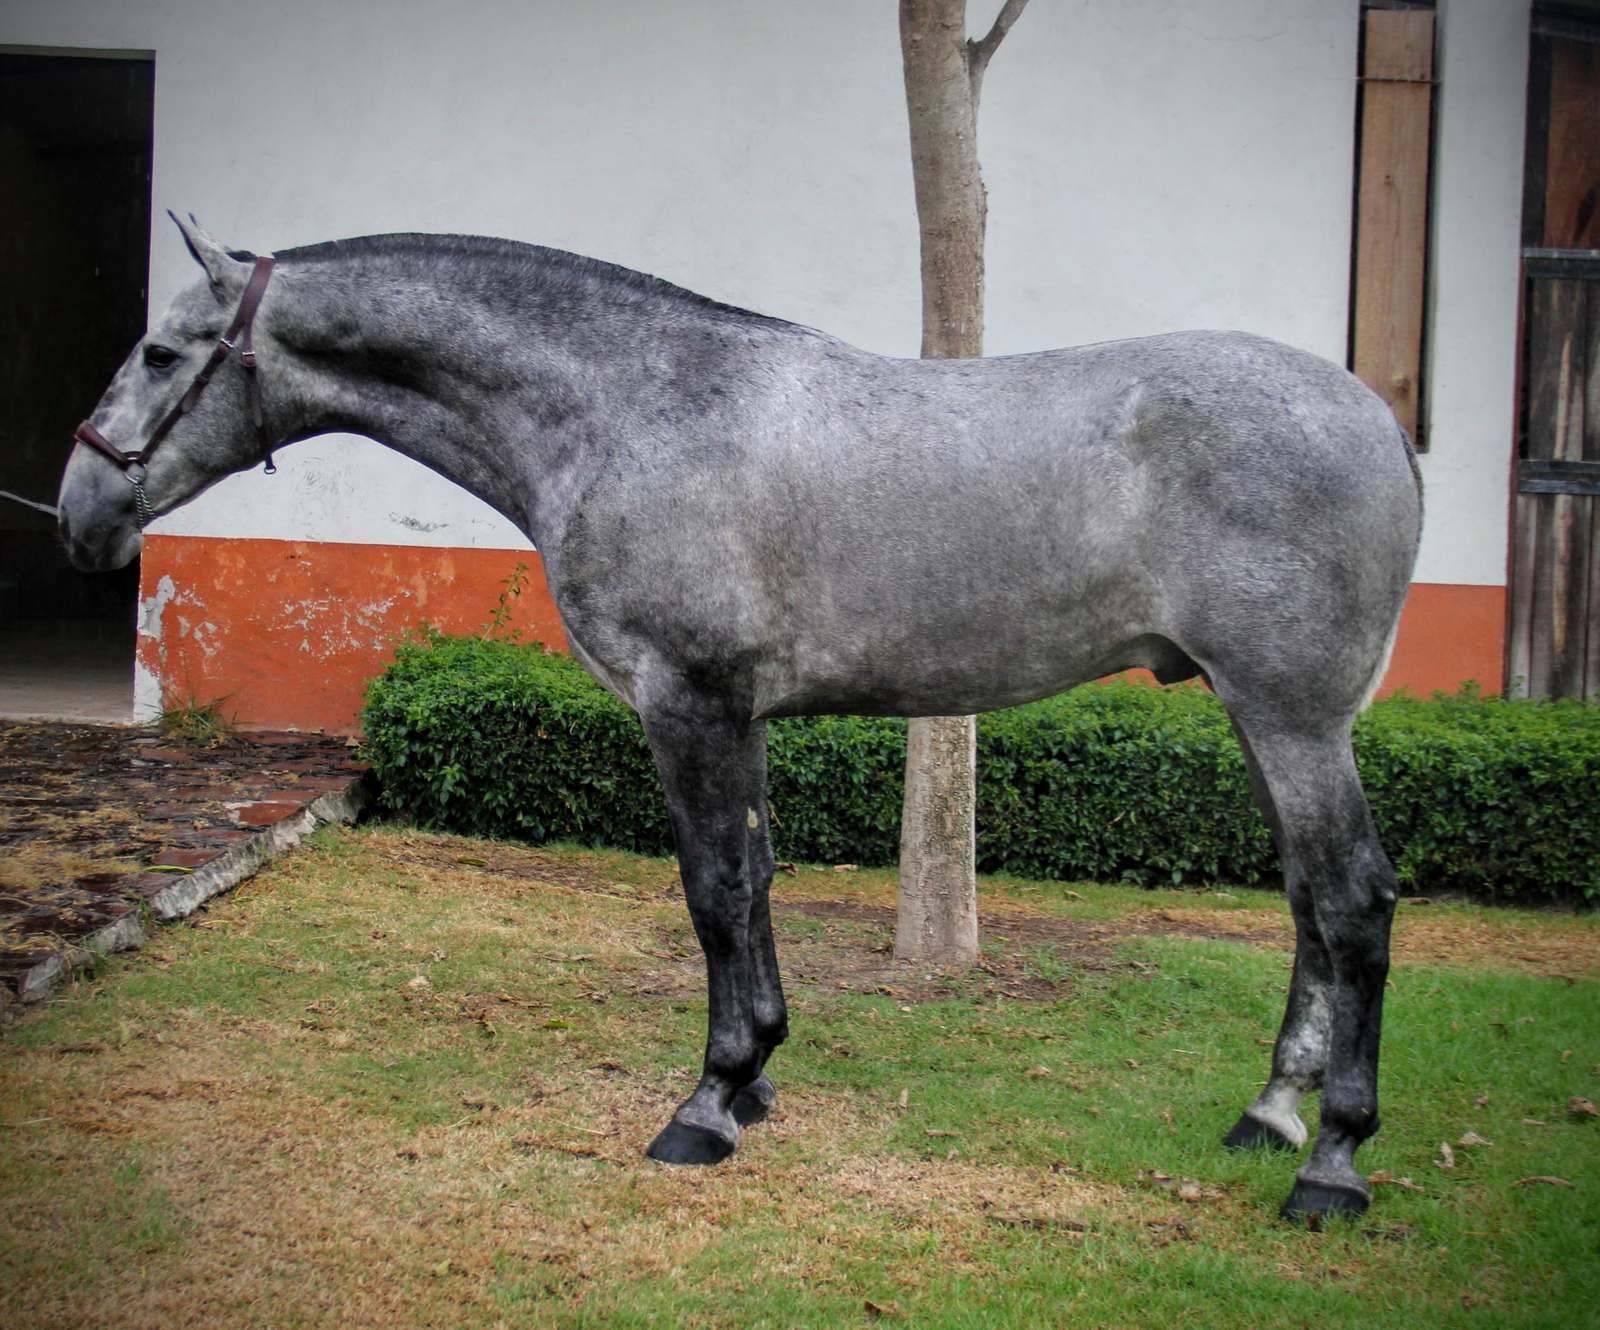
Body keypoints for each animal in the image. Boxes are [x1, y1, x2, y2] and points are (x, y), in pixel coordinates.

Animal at [58, 215, 1422, 1222]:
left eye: (165, 353)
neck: (633, 407)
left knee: (1351, 899)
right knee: (1307, 902)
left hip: (1292, 718)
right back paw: (1269, 1112)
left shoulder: (689, 700)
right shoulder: (741, 713)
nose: (78, 510)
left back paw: (1330, 1163)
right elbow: (755, 880)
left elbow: (712, 889)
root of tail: (1382, 424)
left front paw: (706, 1105)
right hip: (1261, 719)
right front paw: (759, 1071)